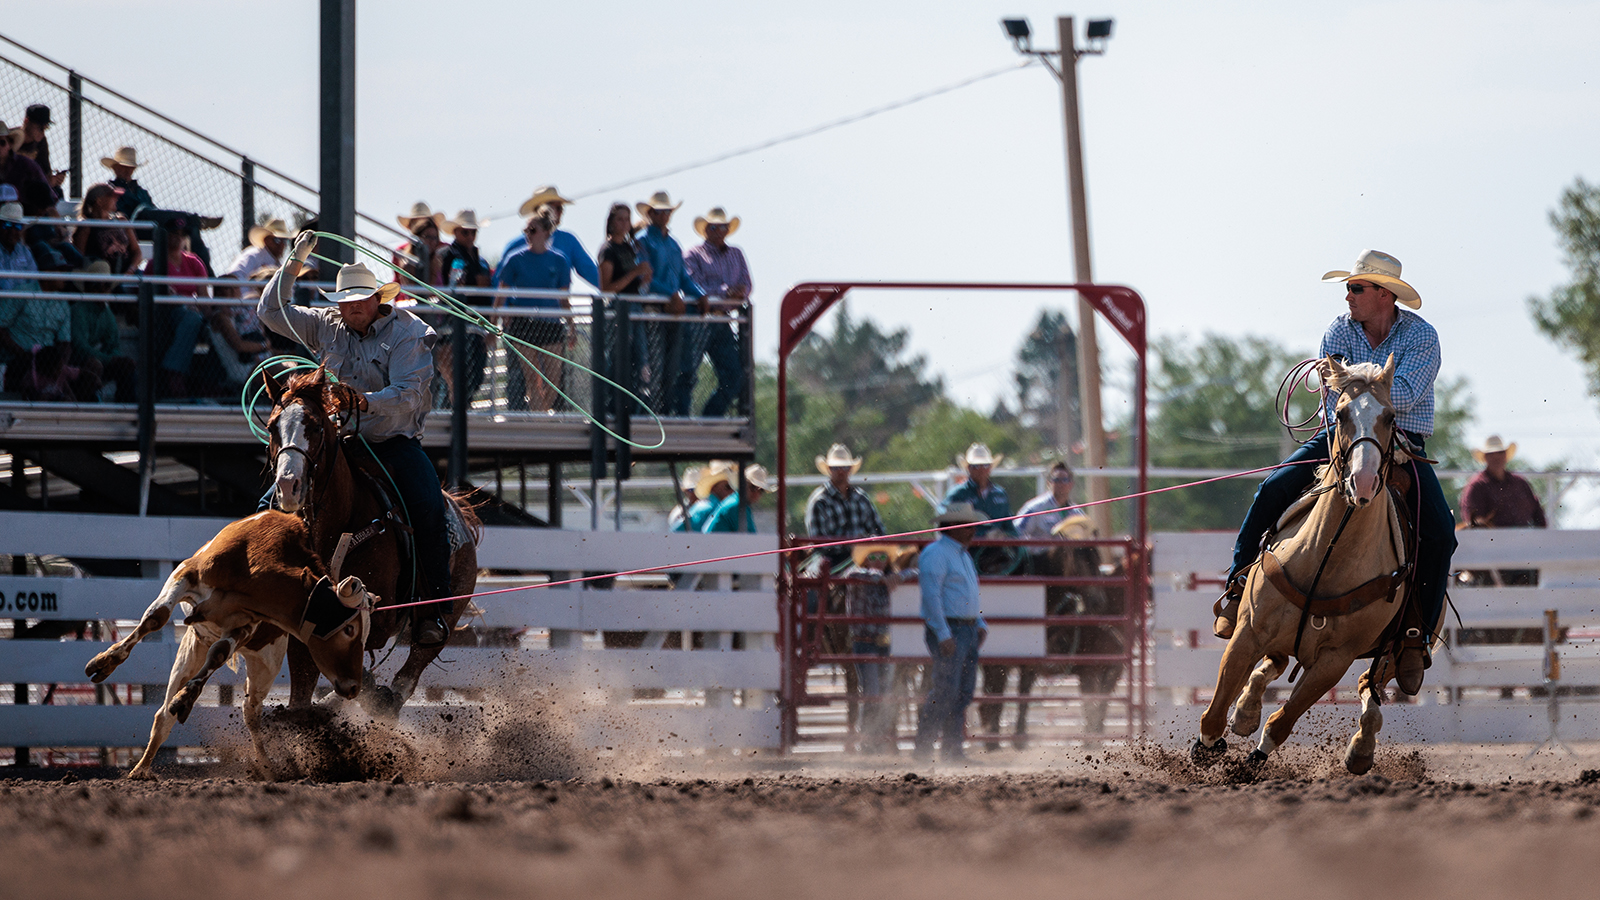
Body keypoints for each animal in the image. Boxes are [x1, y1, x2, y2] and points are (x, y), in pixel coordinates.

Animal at [88, 512, 374, 778]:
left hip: (264, 667)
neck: (254, 562)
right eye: (349, 629)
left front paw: (187, 698)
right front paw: (105, 662)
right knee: (163, 715)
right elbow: (156, 617)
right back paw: (141, 768)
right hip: (191, 647)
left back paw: (267, 768)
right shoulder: (185, 574)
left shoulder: (244, 626)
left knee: (251, 714)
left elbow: (219, 654)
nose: (353, 687)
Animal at [264, 366, 480, 714]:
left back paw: (384, 699)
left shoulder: (380, 619)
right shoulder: (300, 636)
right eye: (272, 427)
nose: (288, 484)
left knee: (410, 671)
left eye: (314, 425)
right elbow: (301, 694)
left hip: (446, 611)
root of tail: (459, 512)